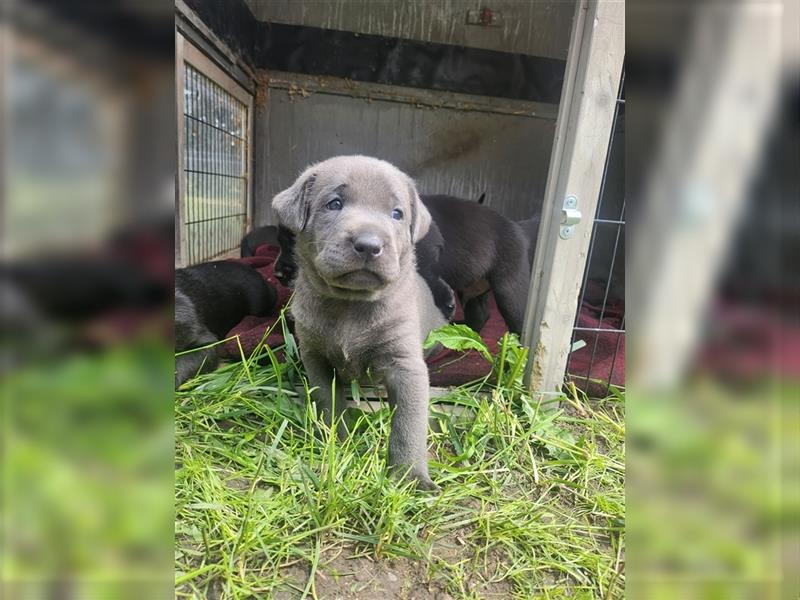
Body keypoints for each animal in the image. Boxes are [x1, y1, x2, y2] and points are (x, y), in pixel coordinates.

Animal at [274, 156, 446, 492]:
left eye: (397, 213)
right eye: (334, 204)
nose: (368, 244)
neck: (350, 305)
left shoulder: (405, 364)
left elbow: (409, 423)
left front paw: (410, 477)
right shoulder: (315, 356)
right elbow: (327, 399)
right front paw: (335, 439)